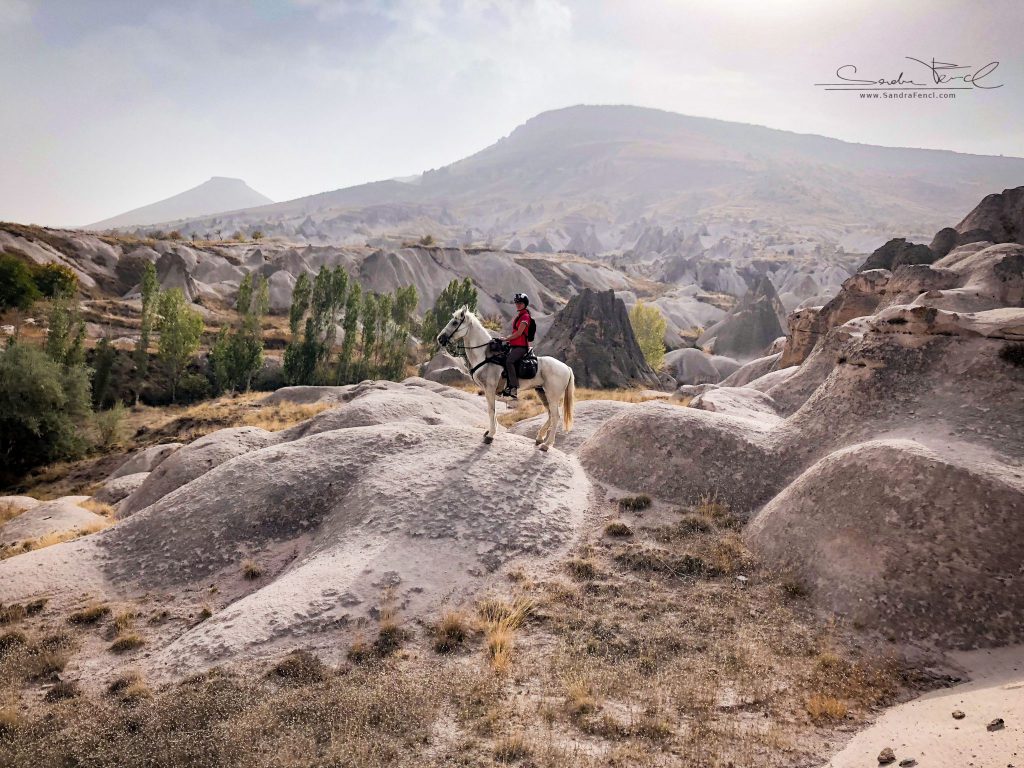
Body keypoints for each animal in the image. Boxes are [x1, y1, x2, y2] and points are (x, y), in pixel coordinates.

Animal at [434, 307, 573, 450]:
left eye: (455, 323)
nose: (440, 339)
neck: (486, 356)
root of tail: (566, 367)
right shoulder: (489, 390)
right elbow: (493, 411)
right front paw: (490, 432)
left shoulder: (489, 388)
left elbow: (491, 410)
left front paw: (490, 435)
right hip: (542, 392)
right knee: (550, 414)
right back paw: (540, 438)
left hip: (552, 395)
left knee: (556, 416)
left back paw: (546, 444)